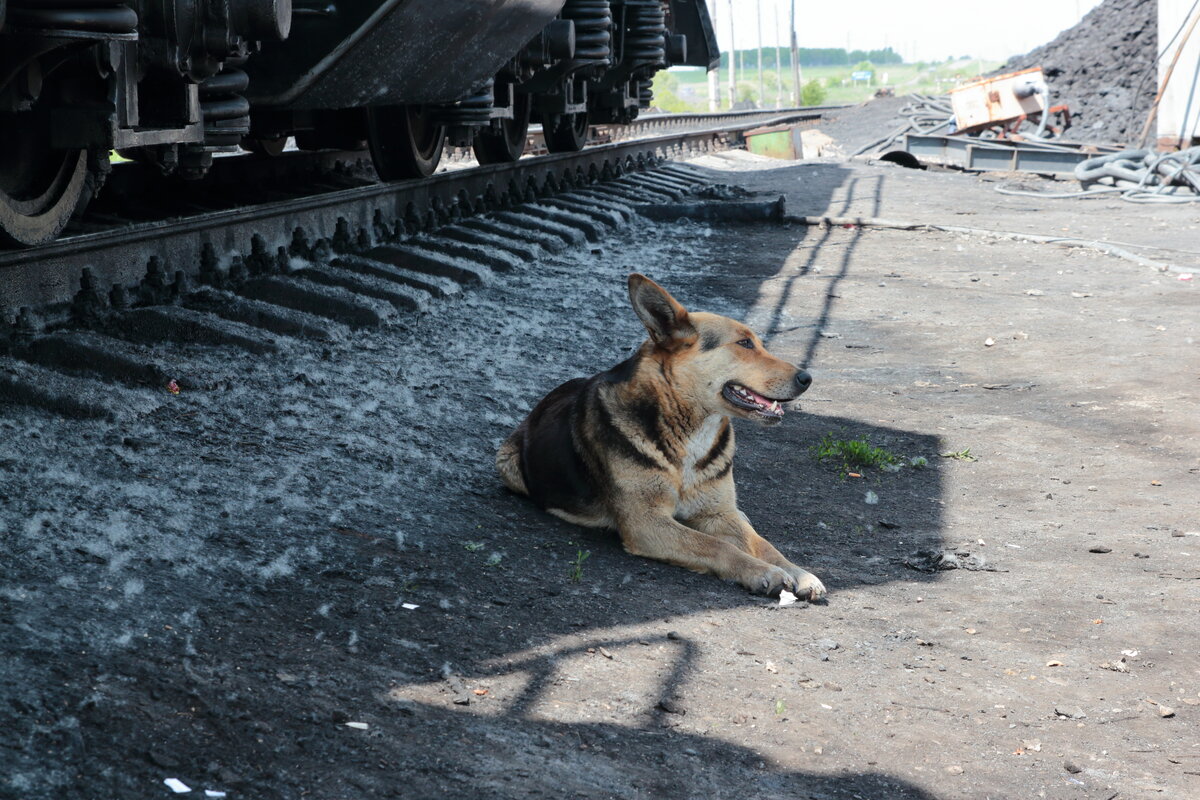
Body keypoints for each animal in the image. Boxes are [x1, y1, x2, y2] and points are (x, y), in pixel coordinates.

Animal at [496, 272, 825, 597]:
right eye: (744, 343)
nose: (807, 378)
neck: (689, 431)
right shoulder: (646, 522)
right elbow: (715, 545)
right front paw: (763, 572)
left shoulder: (718, 514)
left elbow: (763, 544)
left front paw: (798, 571)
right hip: (507, 463)